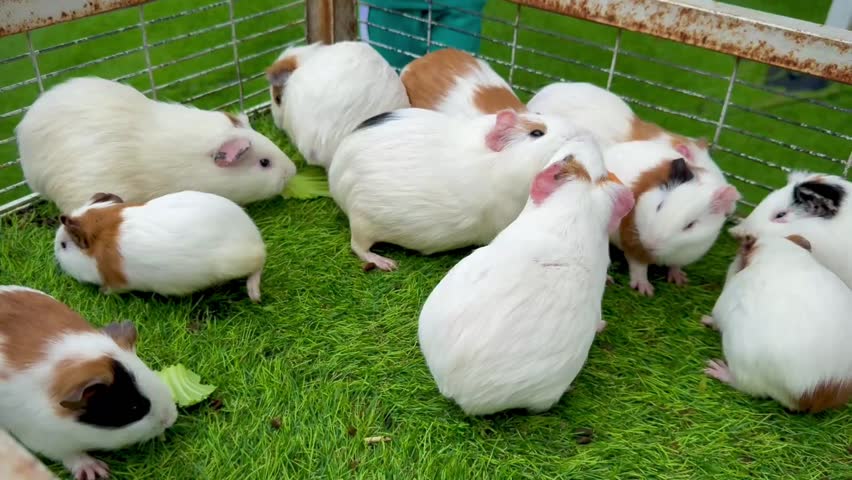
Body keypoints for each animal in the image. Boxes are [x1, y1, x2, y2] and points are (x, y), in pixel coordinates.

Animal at [54, 191, 266, 301]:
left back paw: (254, 295)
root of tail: (254, 236)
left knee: (258, 267)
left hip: (240, 263)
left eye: (64, 245)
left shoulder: (117, 283)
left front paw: (102, 292)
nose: (55, 254)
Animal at [328, 107, 582, 271]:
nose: (576, 133)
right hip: (364, 223)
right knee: (358, 246)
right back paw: (388, 264)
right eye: (537, 133)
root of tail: (336, 170)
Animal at [605, 140, 740, 296]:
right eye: (659, 206)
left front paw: (681, 281)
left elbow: (675, 266)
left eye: (690, 225)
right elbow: (639, 268)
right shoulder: (633, 246)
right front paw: (646, 292)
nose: (650, 244)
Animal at [702, 235, 852, 413]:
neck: (781, 255)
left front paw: (703, 319)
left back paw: (714, 368)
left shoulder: (722, 305)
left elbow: (715, 320)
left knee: (744, 386)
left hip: (741, 365)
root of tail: (814, 393)